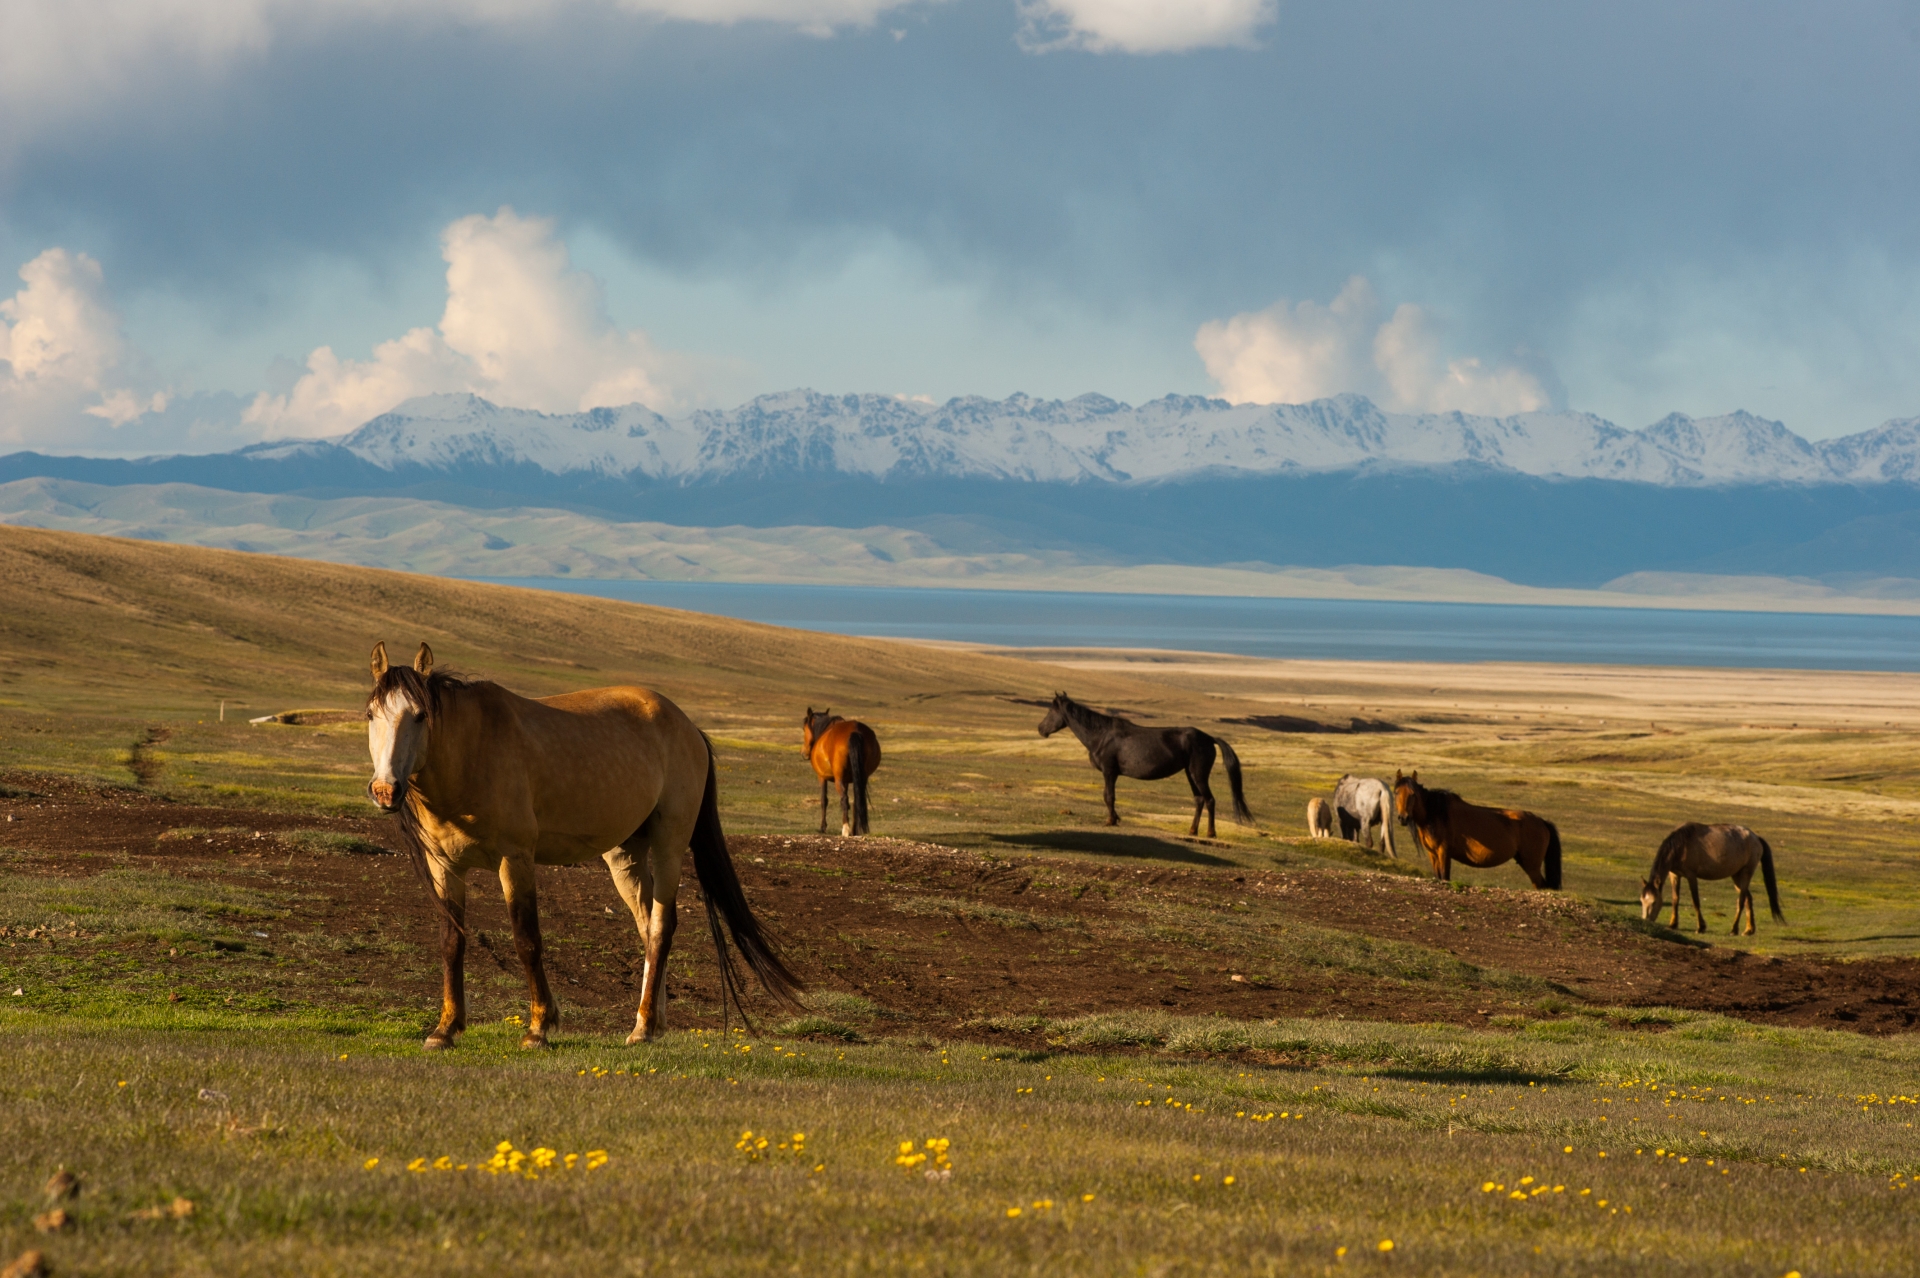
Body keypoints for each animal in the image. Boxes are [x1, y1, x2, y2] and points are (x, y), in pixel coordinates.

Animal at [362, 640, 798, 1051]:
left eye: (420, 715)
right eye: (370, 715)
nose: (386, 790)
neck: (473, 752)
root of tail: (689, 727)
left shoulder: (515, 859)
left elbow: (527, 940)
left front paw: (539, 1027)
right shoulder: (445, 866)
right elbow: (452, 942)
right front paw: (445, 1030)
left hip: (670, 844)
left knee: (660, 927)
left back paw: (642, 1028)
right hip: (624, 854)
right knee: (646, 926)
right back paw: (652, 1023)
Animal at [798, 706, 879, 836]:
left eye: (804, 729)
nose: (804, 753)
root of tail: (855, 731)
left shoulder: (822, 777)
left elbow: (824, 800)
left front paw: (822, 827)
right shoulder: (847, 781)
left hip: (838, 779)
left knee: (844, 800)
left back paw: (845, 829)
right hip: (861, 778)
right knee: (857, 801)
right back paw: (854, 830)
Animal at [1044, 686, 1251, 836]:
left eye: (1050, 711)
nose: (1040, 728)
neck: (1101, 736)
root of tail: (1209, 738)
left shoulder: (1109, 772)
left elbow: (1108, 796)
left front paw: (1111, 820)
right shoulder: (1111, 774)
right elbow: (1109, 796)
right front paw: (1115, 818)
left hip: (1198, 775)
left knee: (1209, 800)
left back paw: (1210, 833)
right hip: (1190, 774)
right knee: (1199, 800)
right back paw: (1192, 830)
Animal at [1397, 767, 1559, 886]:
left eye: (1413, 794)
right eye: (1397, 792)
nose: (1403, 818)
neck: (1436, 813)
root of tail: (1542, 821)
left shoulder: (1444, 853)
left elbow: (1445, 877)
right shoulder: (1433, 854)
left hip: (1532, 865)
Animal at [1635, 821, 1781, 932]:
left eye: (1654, 902)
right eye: (1642, 901)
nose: (1645, 921)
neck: (1681, 845)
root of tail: (1756, 838)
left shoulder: (1691, 876)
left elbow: (1695, 901)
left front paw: (1701, 927)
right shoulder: (1674, 875)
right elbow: (1675, 899)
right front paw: (1673, 924)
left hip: (1746, 873)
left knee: (1741, 900)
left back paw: (1734, 929)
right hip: (1737, 876)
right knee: (1747, 898)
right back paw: (1749, 930)